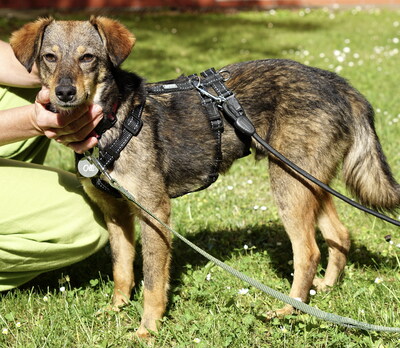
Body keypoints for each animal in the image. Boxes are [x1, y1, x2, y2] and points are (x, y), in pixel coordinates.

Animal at [9, 17, 400, 338]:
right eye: (49, 57)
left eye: (88, 57)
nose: (64, 93)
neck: (111, 120)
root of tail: (335, 81)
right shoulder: (116, 213)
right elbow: (123, 269)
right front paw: (116, 308)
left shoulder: (155, 214)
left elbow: (153, 282)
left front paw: (147, 329)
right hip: (309, 182)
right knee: (340, 234)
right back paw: (325, 290)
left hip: (289, 183)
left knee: (309, 251)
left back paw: (288, 309)